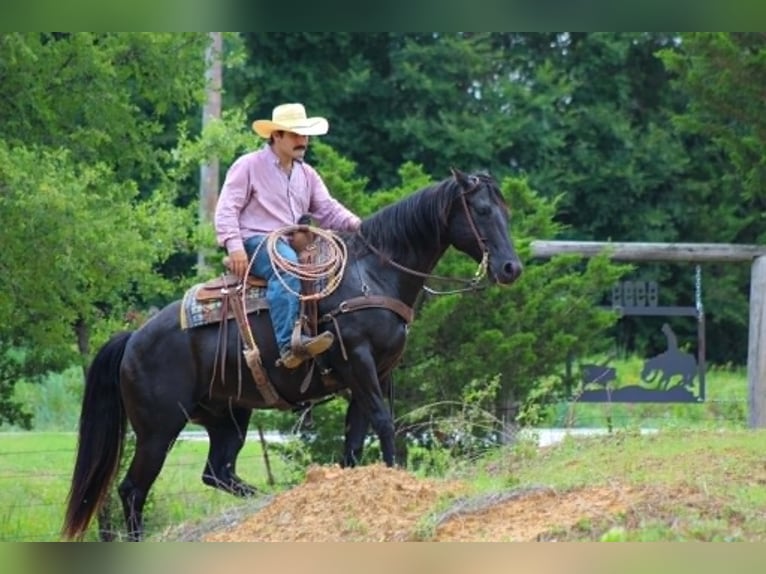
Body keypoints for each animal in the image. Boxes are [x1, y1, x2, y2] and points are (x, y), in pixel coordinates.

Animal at [61, 169, 523, 541]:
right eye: (482, 210)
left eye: (506, 210)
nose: (510, 269)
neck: (372, 276)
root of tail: (133, 338)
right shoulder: (359, 361)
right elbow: (384, 422)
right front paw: (398, 480)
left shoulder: (376, 373)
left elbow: (355, 440)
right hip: (159, 429)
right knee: (132, 490)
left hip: (228, 417)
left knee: (217, 471)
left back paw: (267, 499)